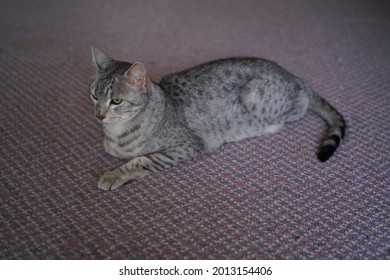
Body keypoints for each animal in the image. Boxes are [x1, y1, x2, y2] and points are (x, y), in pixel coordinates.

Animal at [90, 47, 346, 190]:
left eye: (116, 101)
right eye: (94, 96)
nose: (99, 115)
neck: (116, 133)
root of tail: (292, 75)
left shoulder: (187, 145)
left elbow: (141, 161)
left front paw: (114, 175)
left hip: (258, 97)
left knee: (301, 103)